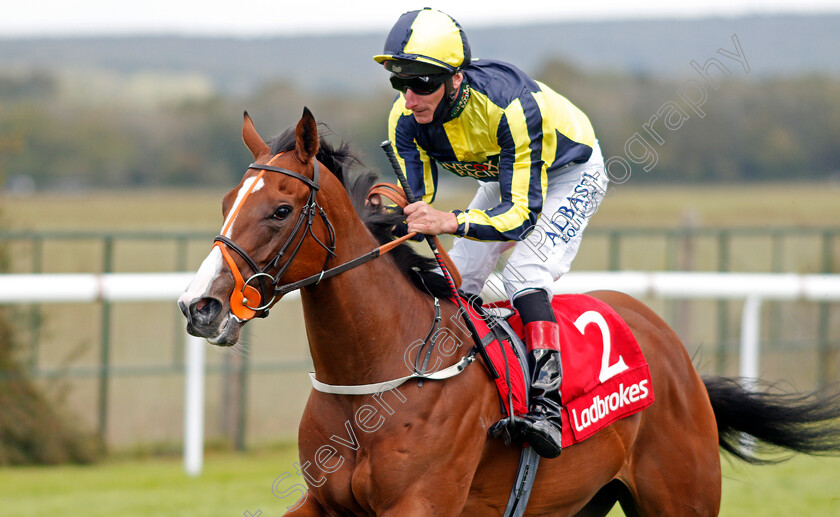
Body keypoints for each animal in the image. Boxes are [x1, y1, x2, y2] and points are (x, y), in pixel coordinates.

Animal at [179, 108, 840, 512]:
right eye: (227, 201)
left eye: (280, 210)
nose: (198, 306)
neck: (375, 382)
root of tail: (674, 352)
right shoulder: (325, 501)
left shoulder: (421, 505)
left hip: (683, 497)